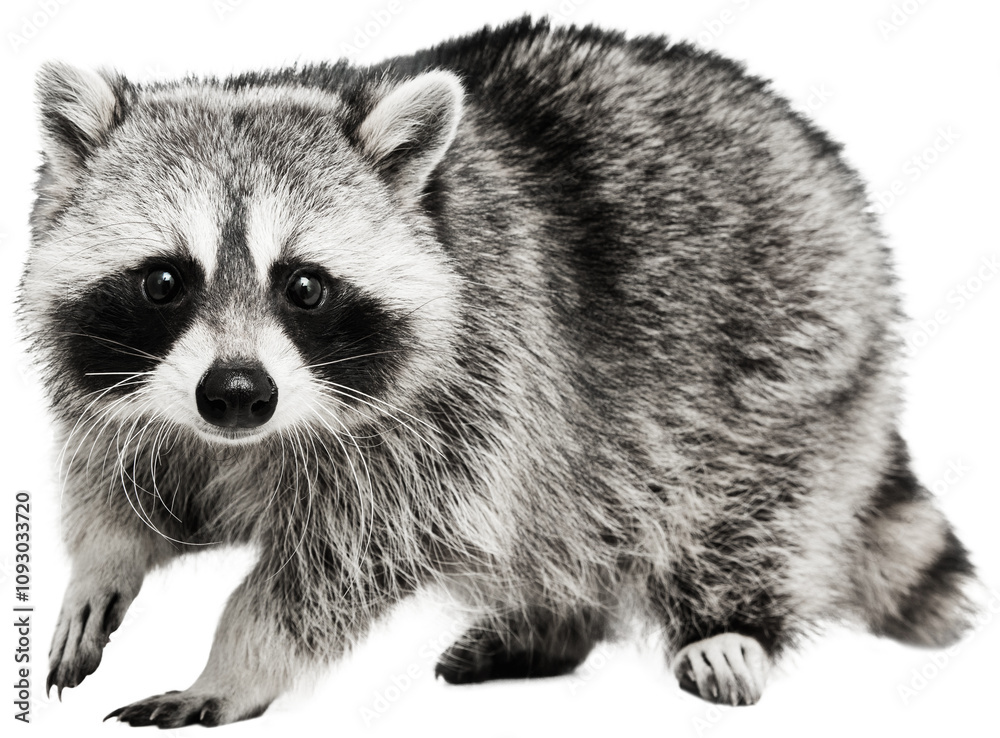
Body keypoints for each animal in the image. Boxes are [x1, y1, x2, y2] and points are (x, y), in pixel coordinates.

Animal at [19, 17, 977, 728]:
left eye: (305, 286)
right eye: (164, 280)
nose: (237, 396)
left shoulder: (468, 390)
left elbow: (348, 558)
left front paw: (237, 658)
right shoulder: (141, 397)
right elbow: (133, 484)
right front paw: (102, 562)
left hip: (786, 340)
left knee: (744, 497)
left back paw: (729, 623)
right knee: (574, 514)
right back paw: (551, 625)